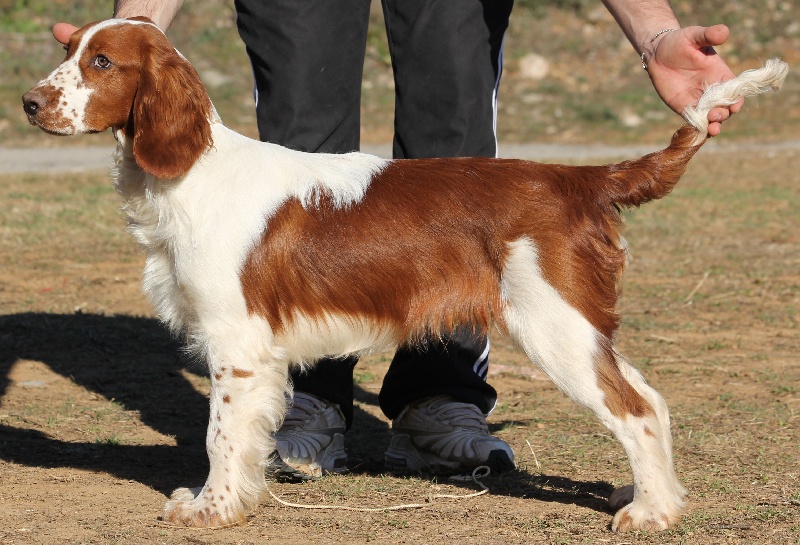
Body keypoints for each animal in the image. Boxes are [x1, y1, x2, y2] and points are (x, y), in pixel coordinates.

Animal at [20, 18, 788, 532]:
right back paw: (658, 502)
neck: (191, 171)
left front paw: (210, 509)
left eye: (102, 61)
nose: (28, 102)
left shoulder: (236, 345)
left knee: (634, 409)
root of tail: (582, 179)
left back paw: (650, 514)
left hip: (556, 327)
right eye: (67, 50)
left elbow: (221, 435)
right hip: (578, 324)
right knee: (651, 399)